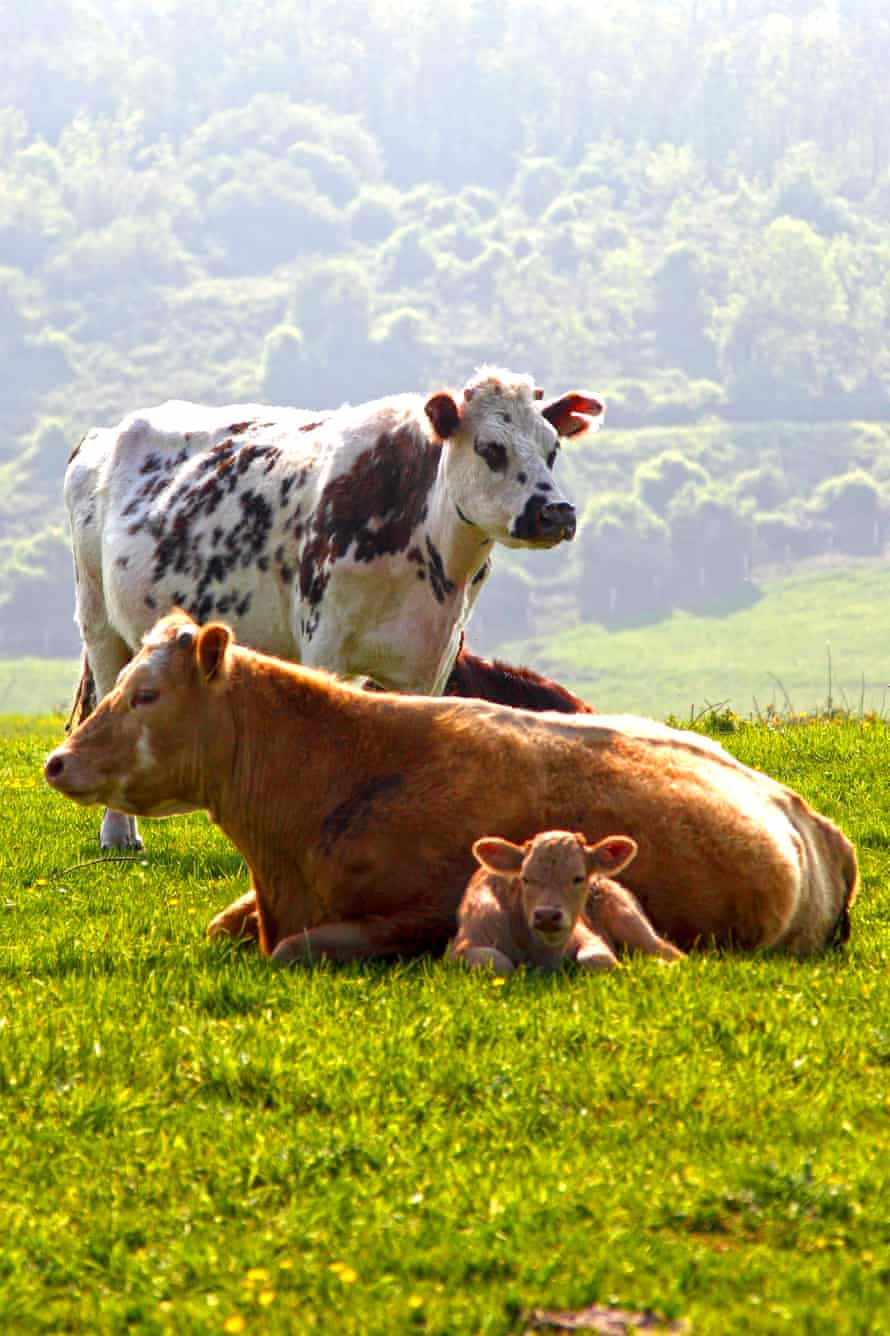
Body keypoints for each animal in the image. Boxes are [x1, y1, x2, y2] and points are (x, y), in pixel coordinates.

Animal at [64, 366, 604, 844]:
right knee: (109, 694)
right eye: (491, 448)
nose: (555, 511)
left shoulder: (432, 662)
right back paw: (117, 834)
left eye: (553, 449)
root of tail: (104, 434)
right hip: (97, 618)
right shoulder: (324, 646)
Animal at [446, 828, 681, 977]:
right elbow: (500, 963)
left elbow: (595, 959)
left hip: (631, 921)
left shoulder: (590, 938)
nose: (547, 916)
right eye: (525, 878)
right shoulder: (460, 948)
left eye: (578, 878)